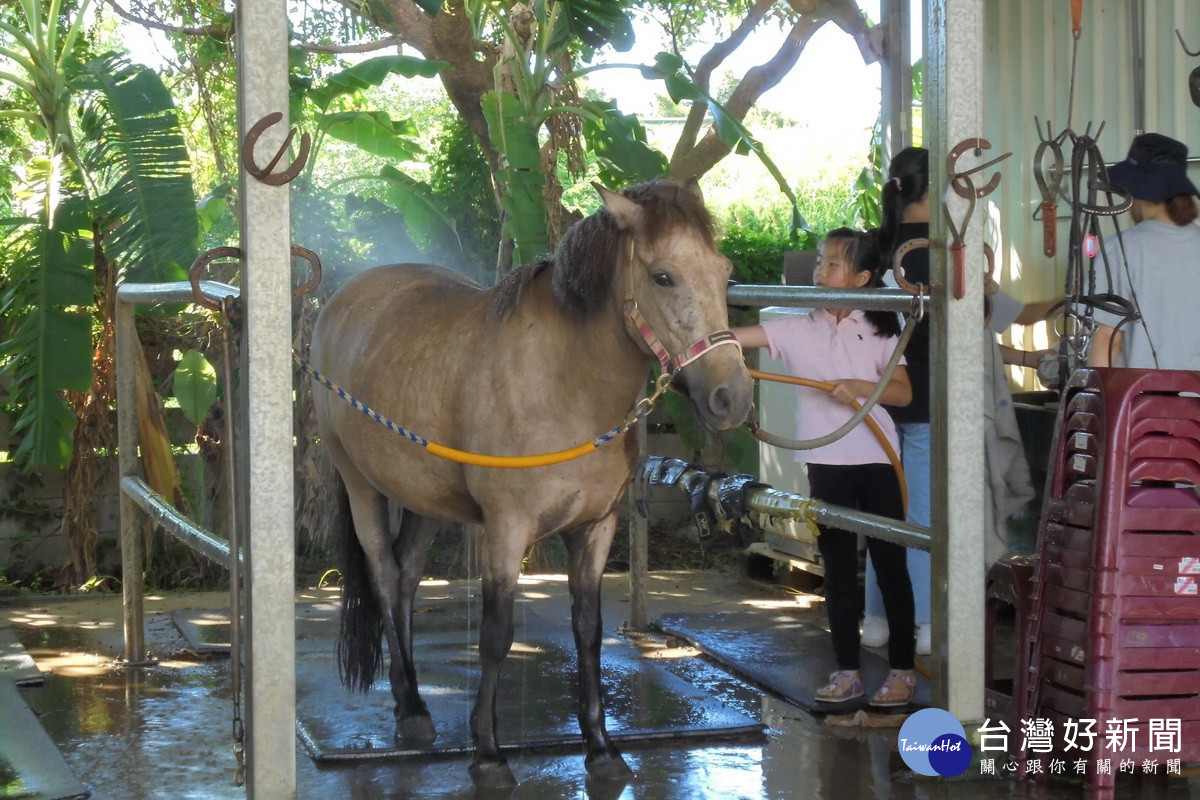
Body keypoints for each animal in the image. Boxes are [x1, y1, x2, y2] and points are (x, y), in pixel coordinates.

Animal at [314, 176, 753, 786]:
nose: (731, 398)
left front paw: (600, 748)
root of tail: (340, 301)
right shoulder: (505, 529)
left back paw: (410, 704)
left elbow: (588, 630)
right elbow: (496, 636)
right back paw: (415, 707)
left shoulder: (596, 528)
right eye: (663, 276)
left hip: (424, 497)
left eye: (725, 270)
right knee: (382, 575)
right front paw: (488, 754)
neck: (565, 384)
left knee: (404, 578)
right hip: (361, 485)